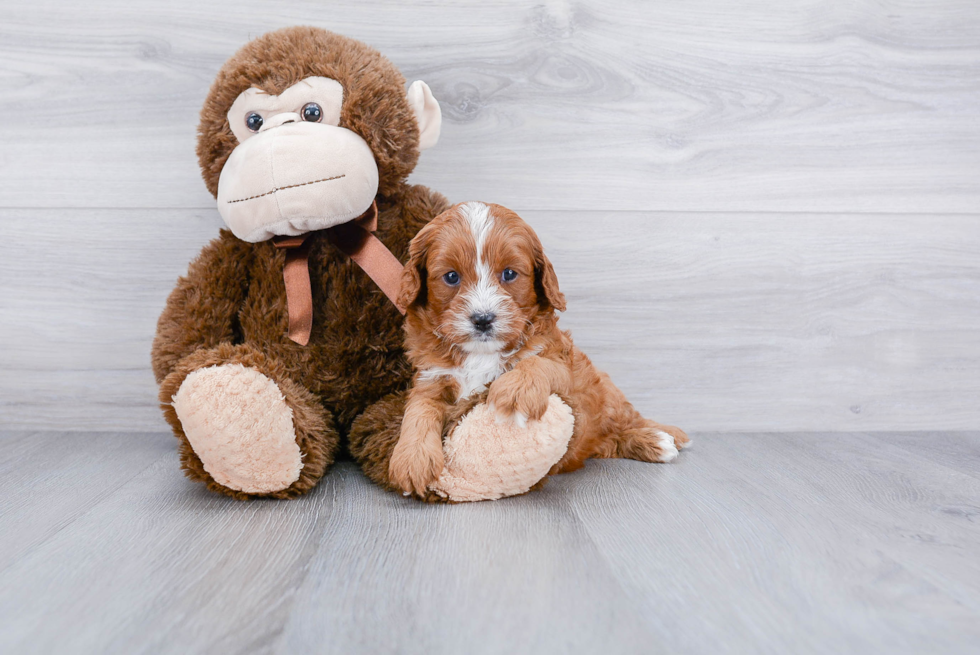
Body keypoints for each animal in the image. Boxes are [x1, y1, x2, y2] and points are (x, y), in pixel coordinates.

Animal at [384, 202, 688, 494]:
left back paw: (659, 438)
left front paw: (516, 392)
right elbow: (418, 410)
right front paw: (412, 459)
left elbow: (536, 362)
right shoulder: (432, 378)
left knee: (626, 420)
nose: (483, 319)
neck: (482, 354)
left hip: (607, 395)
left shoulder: (566, 370)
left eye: (509, 274)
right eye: (451, 277)